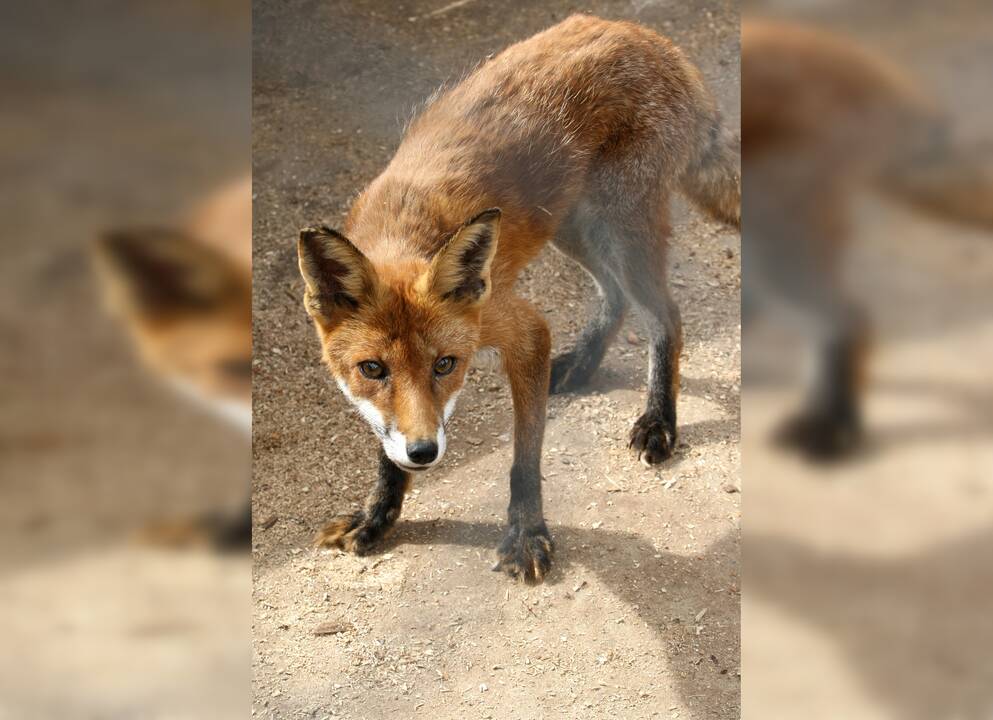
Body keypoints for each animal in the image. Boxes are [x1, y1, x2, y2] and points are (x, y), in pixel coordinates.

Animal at [294, 14, 736, 584]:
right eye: (372, 369)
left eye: (446, 364)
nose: (425, 452)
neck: (405, 230)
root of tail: (649, 37)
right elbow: (386, 453)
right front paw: (378, 517)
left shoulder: (521, 329)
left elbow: (524, 460)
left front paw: (526, 535)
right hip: (574, 225)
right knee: (614, 294)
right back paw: (584, 364)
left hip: (620, 225)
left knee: (666, 316)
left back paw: (659, 420)